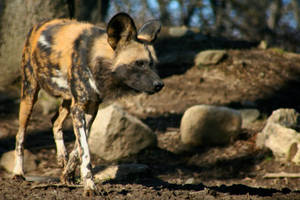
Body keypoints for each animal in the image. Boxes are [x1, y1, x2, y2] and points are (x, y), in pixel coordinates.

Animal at [13, 13, 164, 196]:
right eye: (139, 63)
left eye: (153, 64)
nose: (159, 85)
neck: (96, 61)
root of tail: (38, 24)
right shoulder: (79, 108)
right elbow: (85, 153)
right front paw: (90, 186)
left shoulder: (91, 108)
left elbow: (78, 149)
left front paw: (68, 175)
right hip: (29, 94)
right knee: (20, 135)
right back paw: (18, 172)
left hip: (67, 100)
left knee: (55, 121)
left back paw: (61, 157)